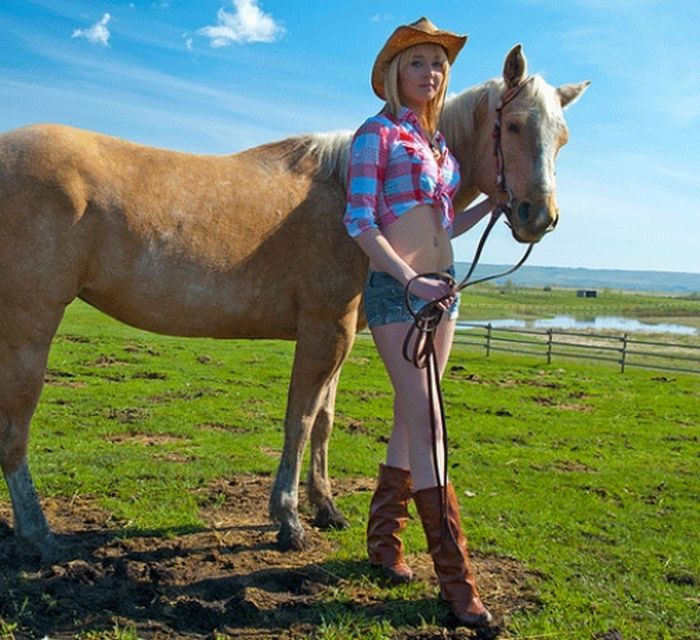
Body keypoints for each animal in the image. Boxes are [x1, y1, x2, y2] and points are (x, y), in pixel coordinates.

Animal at [1, 45, 584, 560]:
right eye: (514, 126)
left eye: (562, 138)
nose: (539, 217)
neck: (347, 192)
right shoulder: (325, 332)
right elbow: (299, 420)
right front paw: (288, 520)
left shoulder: (342, 336)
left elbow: (324, 418)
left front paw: (325, 507)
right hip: (30, 327)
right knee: (16, 425)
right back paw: (40, 535)